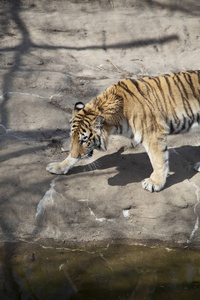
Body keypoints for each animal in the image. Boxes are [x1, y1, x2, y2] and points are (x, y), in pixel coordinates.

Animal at [46, 70, 200, 192]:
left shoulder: (154, 135)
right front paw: (58, 166)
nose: (75, 153)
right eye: (72, 138)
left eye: (84, 140)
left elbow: (158, 160)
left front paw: (154, 183)